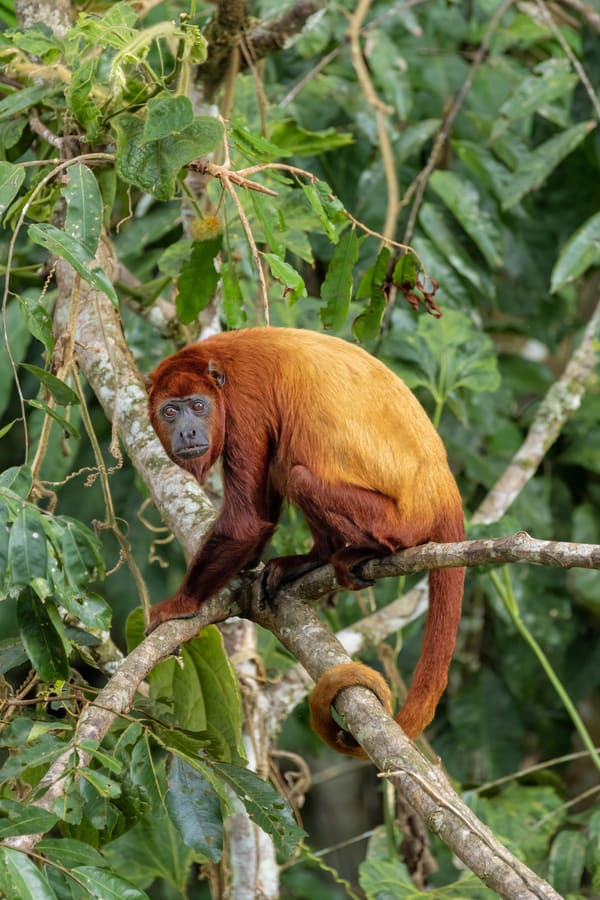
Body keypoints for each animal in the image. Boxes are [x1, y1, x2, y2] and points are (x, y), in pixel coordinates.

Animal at [147, 327, 465, 754]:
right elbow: (260, 512)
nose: (188, 432)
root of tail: (444, 491)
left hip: (399, 521)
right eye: (170, 411)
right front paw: (247, 565)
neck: (216, 370)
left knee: (297, 471)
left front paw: (180, 605)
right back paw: (314, 559)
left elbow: (246, 520)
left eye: (198, 406)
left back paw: (365, 551)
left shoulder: (245, 404)